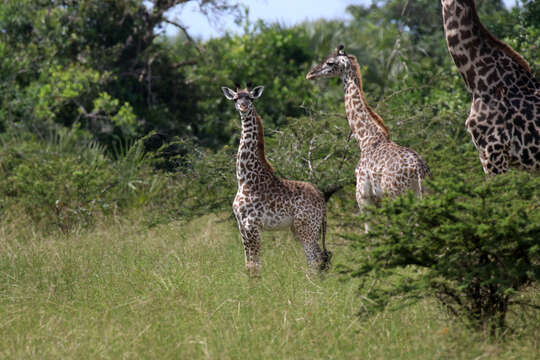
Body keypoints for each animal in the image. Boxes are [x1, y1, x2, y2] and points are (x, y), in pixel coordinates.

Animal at [220, 85, 332, 276]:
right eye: (235, 99)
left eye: (251, 98)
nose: (243, 107)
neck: (244, 179)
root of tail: (322, 199)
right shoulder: (241, 225)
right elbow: (249, 265)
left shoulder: (252, 225)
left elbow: (255, 266)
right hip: (302, 228)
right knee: (322, 258)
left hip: (306, 227)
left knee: (315, 260)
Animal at [308, 45, 430, 231]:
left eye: (329, 62)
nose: (310, 74)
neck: (366, 139)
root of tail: (418, 169)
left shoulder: (363, 197)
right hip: (425, 194)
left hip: (397, 196)